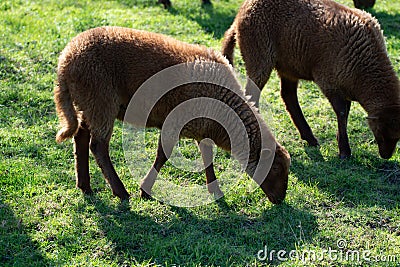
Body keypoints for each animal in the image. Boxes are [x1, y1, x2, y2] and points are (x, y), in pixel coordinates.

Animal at [54, 26, 290, 204]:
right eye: (276, 168)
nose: (280, 200)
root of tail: (66, 60)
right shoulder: (175, 122)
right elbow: (163, 155)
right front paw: (145, 190)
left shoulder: (201, 127)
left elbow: (206, 157)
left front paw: (215, 191)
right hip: (101, 101)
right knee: (98, 146)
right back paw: (120, 191)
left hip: (88, 103)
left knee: (81, 137)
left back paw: (85, 186)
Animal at [222, 0, 400, 159]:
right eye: (382, 132)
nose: (386, 156)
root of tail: (241, 12)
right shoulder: (328, 81)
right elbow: (342, 112)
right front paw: (344, 151)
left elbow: (345, 112)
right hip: (259, 55)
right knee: (252, 95)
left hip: (288, 65)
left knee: (288, 96)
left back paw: (309, 137)